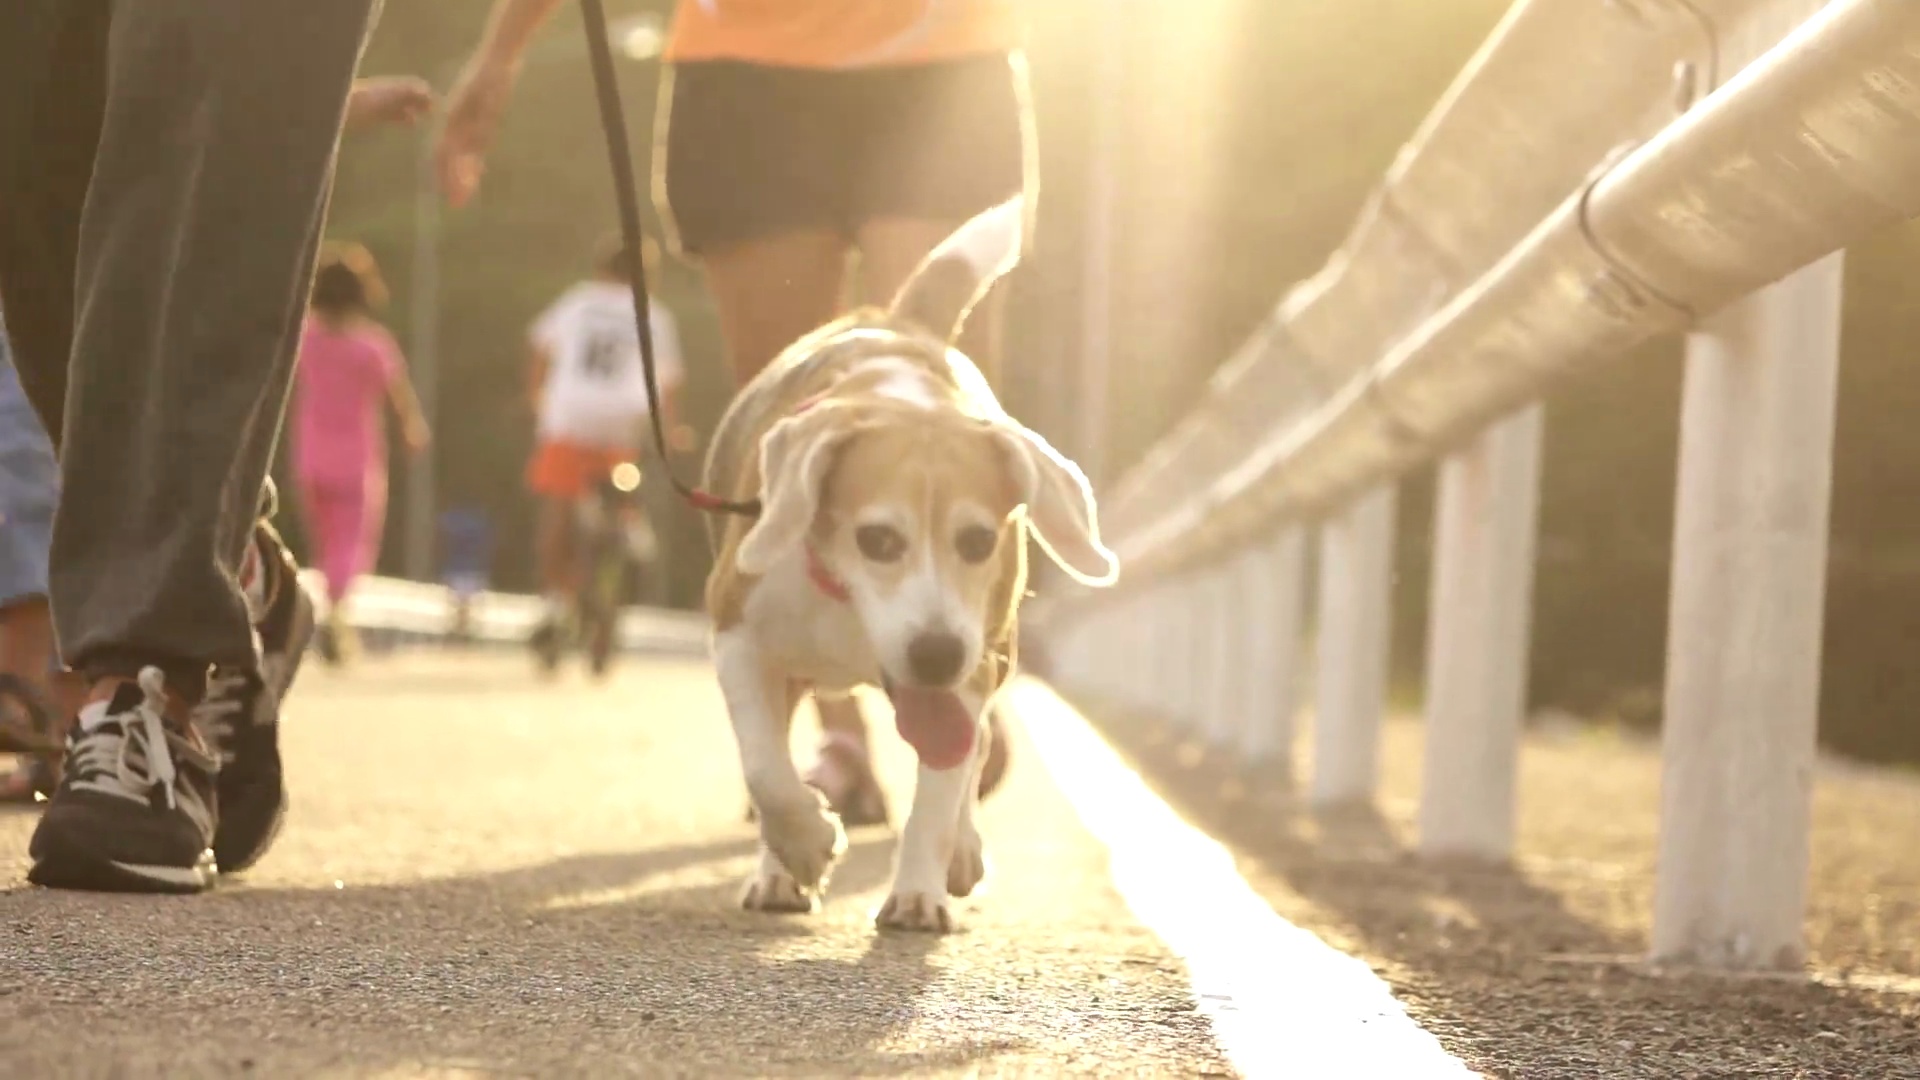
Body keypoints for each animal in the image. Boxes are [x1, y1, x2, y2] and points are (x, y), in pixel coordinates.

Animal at [706, 197, 1121, 930]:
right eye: (877, 540)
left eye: (978, 541)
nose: (935, 654)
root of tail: (900, 322)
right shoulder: (736, 633)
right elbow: (765, 767)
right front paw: (807, 843)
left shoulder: (973, 668)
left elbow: (942, 788)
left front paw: (920, 891)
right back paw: (778, 870)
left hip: (992, 654)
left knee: (974, 750)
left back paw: (962, 850)